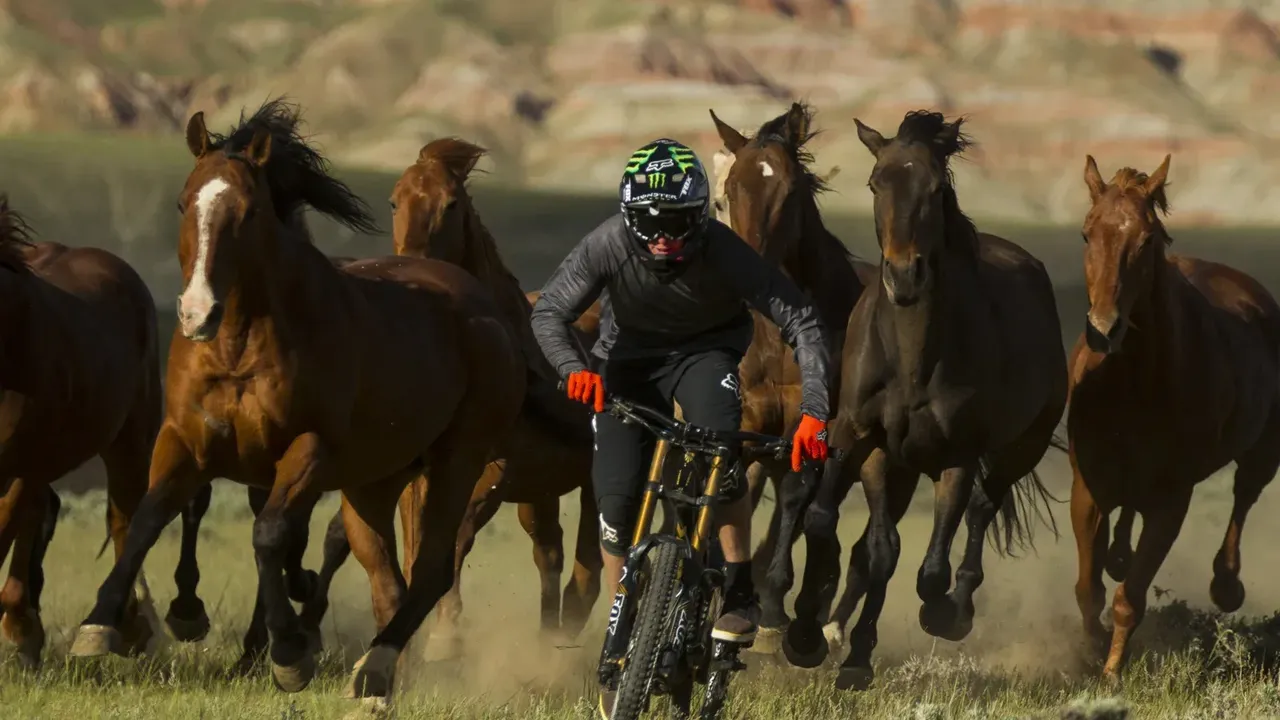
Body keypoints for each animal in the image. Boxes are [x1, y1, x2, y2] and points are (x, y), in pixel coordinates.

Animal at [68, 98, 527, 703]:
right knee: (388, 576)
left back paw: (376, 668)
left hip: (458, 460)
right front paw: (98, 624)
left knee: (430, 570)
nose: (196, 313)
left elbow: (269, 535)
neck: (239, 347)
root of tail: (483, 306)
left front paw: (288, 652)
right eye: (184, 202)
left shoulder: (309, 450)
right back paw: (374, 673)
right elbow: (148, 519)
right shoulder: (185, 439)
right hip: (376, 480)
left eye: (249, 211)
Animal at [708, 102, 878, 661]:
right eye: (728, 190)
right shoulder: (747, 423)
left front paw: (774, 614)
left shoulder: (811, 429)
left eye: (788, 192)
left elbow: (796, 502)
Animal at [816, 110, 1065, 691]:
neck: (912, 359)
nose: (904, 276)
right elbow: (881, 552)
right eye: (874, 183)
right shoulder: (874, 446)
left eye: (934, 188)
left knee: (982, 510)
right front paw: (854, 657)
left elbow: (932, 570)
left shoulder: (957, 457)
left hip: (1023, 447)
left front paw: (942, 614)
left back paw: (958, 607)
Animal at [1069, 154, 1280, 678]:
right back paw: (1119, 555)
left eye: (1147, 240)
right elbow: (1088, 589)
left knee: (1244, 494)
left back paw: (1226, 586)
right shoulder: (1088, 489)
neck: (1132, 384)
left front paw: (1110, 671)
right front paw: (1090, 651)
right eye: (1086, 234)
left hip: (1263, 452)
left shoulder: (1171, 502)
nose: (1104, 329)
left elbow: (1129, 600)